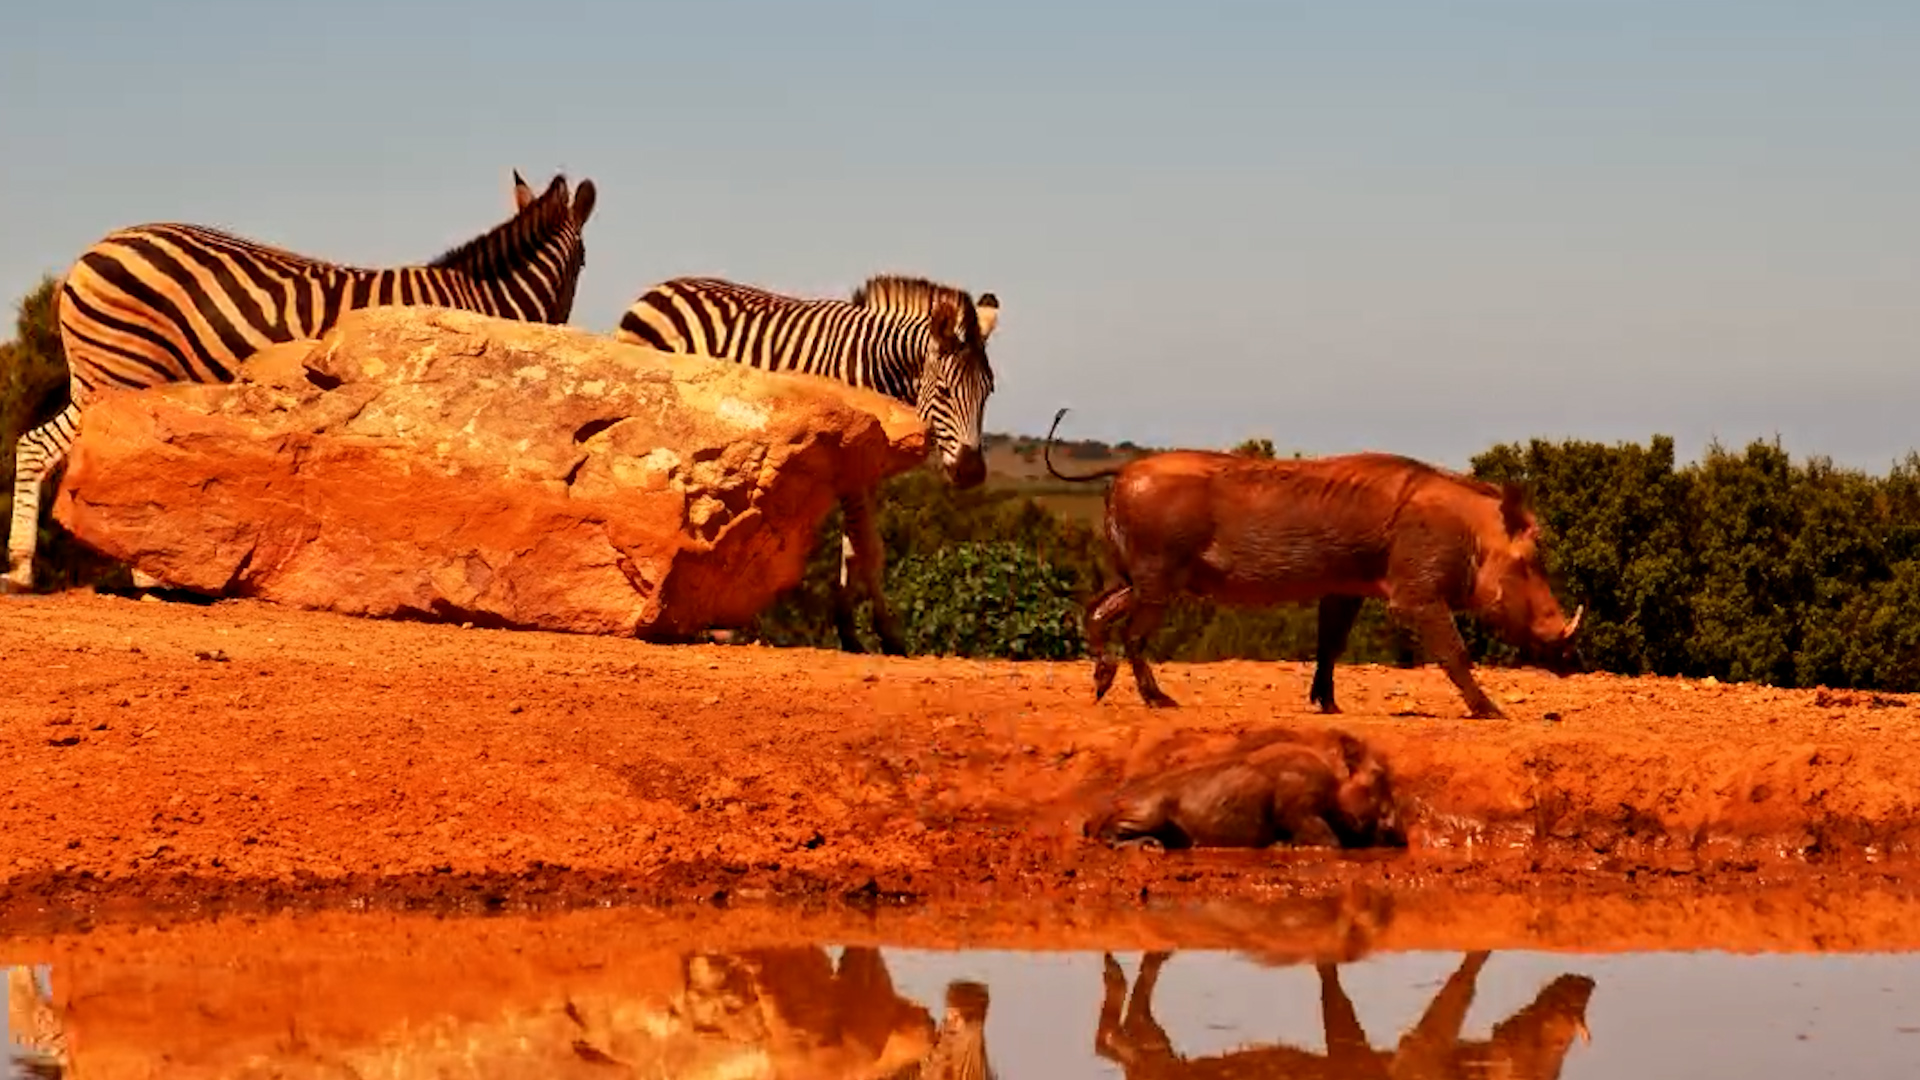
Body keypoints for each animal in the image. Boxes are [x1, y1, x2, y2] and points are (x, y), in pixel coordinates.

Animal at [3, 169, 599, 594]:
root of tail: (97, 248)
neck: (479, 300)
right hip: (117, 372)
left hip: (106, 373)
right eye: (584, 263)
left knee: (38, 445)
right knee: (63, 452)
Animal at [614, 273, 1001, 656]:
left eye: (989, 392)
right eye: (944, 391)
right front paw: (889, 635)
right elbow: (868, 548)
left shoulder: (867, 467)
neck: (875, 369)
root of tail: (664, 285)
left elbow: (855, 548)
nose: (972, 472)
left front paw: (850, 631)